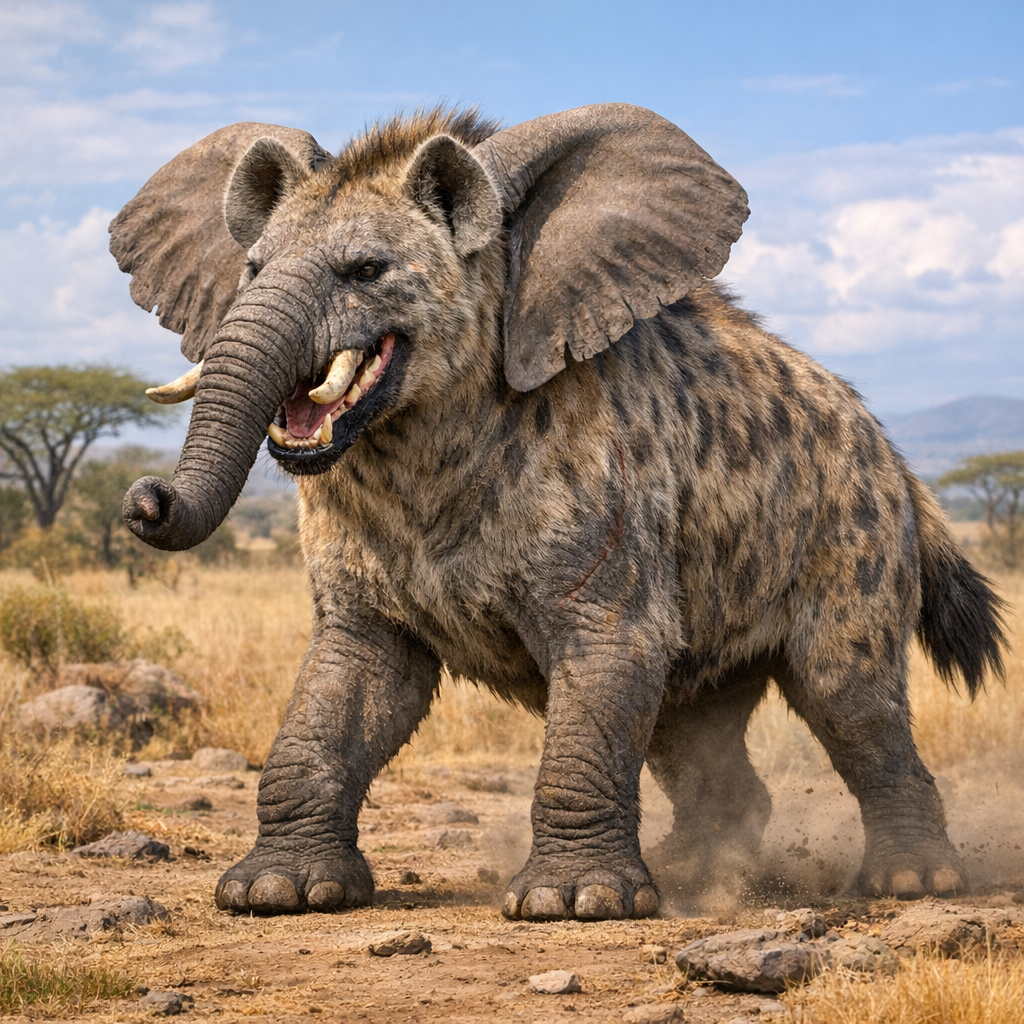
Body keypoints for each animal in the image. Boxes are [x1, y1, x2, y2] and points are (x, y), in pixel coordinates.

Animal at [112, 104, 1005, 920]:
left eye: (366, 270)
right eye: (252, 268)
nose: (145, 500)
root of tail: (897, 456)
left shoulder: (608, 485)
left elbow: (607, 652)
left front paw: (573, 903)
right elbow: (352, 683)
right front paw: (277, 891)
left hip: (854, 539)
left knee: (851, 700)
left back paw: (909, 883)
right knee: (693, 730)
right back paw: (695, 872)